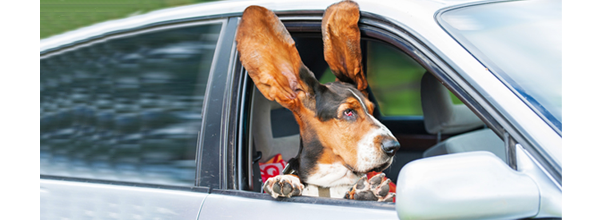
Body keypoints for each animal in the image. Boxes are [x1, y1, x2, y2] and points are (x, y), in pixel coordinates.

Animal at [234, 0, 398, 202]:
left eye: (372, 110)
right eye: (348, 112)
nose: (393, 147)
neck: (328, 184)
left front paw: (366, 192)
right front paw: (283, 181)